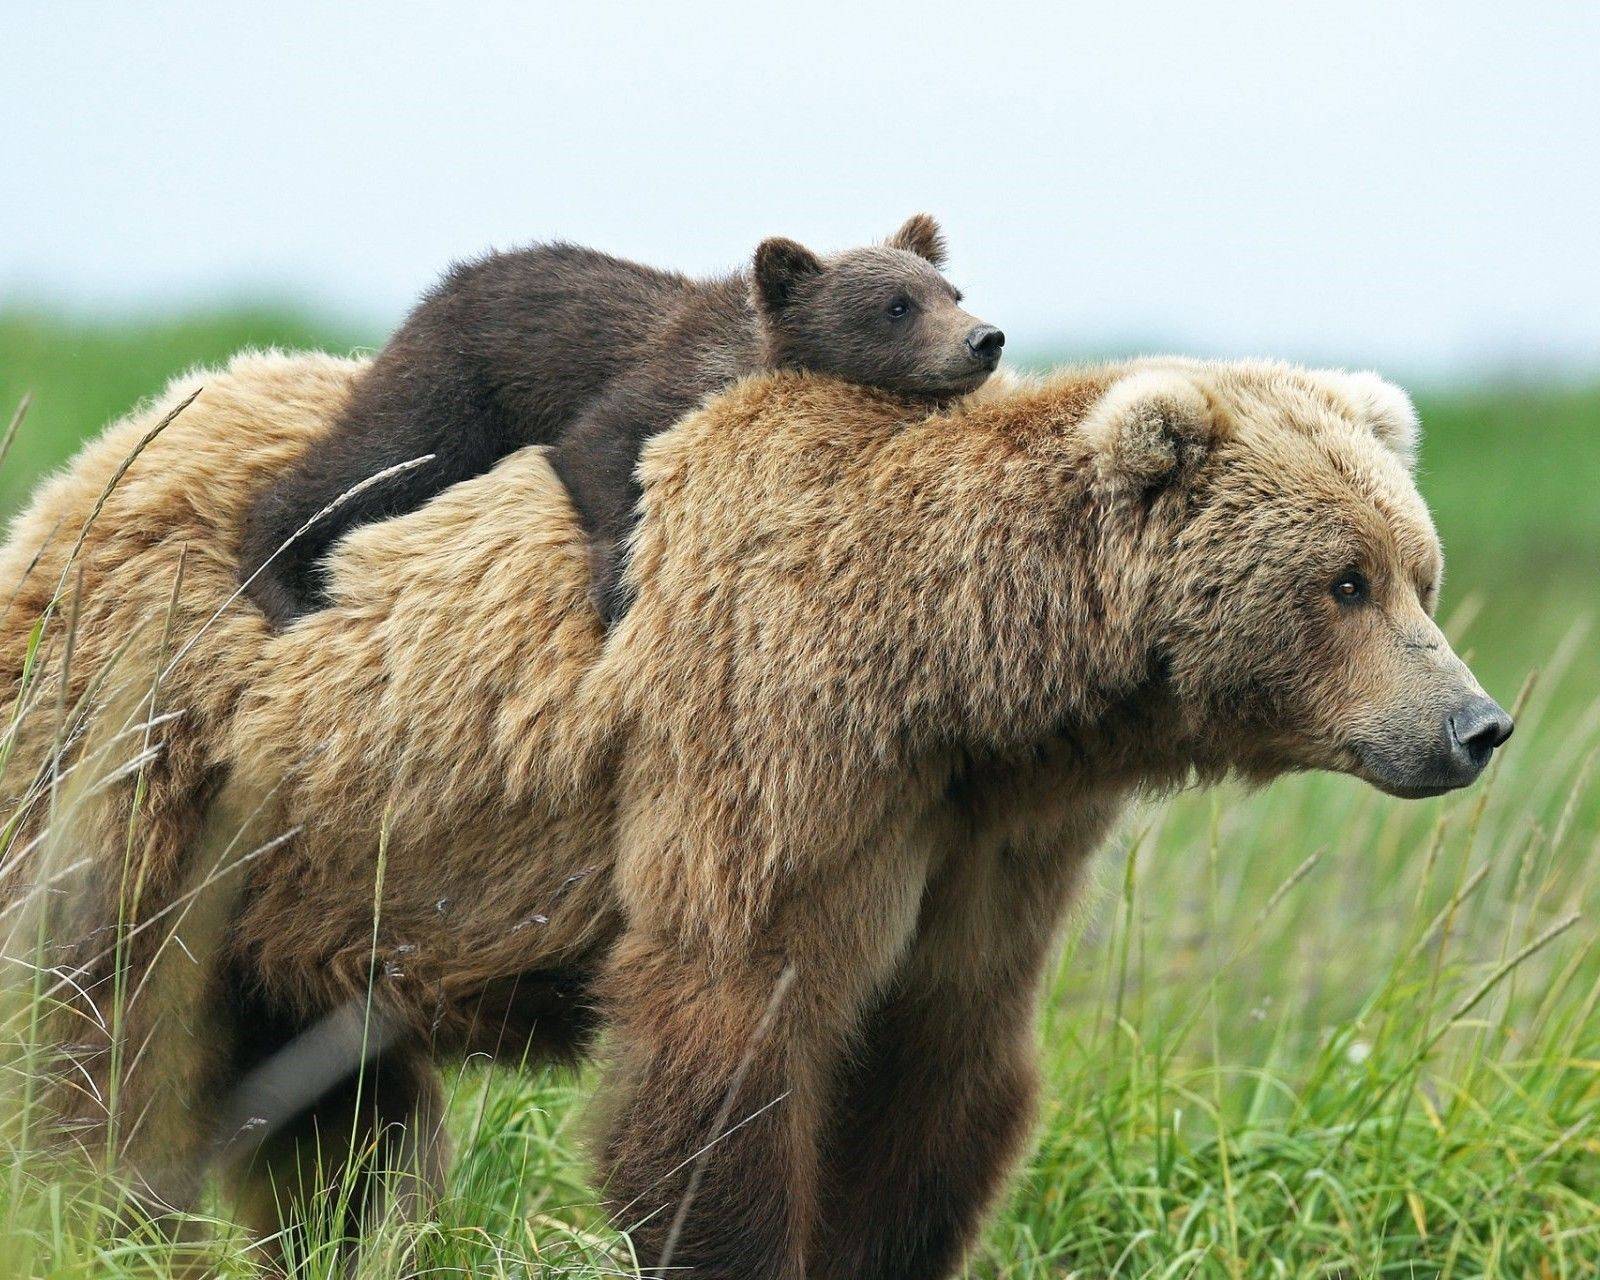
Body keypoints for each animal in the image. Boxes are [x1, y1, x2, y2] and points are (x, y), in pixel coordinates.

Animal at [0, 352, 1504, 1280]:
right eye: (1344, 580)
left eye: (1419, 569)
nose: (1473, 724)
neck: (961, 680)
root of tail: (82, 471)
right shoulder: (776, 751)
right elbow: (728, 1047)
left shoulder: (986, 840)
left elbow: (941, 1071)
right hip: (150, 763)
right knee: (104, 1041)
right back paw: (106, 1225)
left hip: (315, 878)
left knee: (334, 1125)